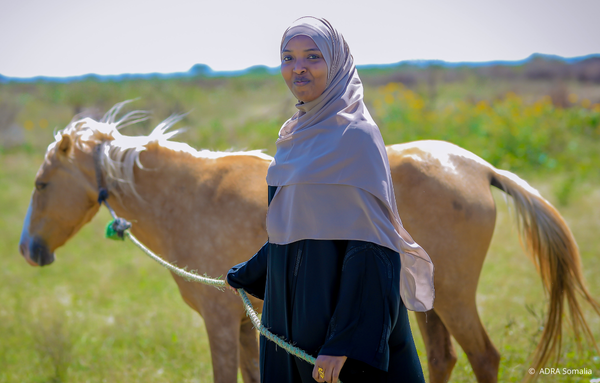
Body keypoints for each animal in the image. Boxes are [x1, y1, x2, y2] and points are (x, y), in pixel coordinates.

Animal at [19, 103, 600, 382]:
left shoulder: (219, 320)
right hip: (426, 302)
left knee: (483, 358)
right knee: (442, 360)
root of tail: (477, 167)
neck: (190, 196)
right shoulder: (246, 319)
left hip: (455, 297)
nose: (27, 249)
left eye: (42, 183)